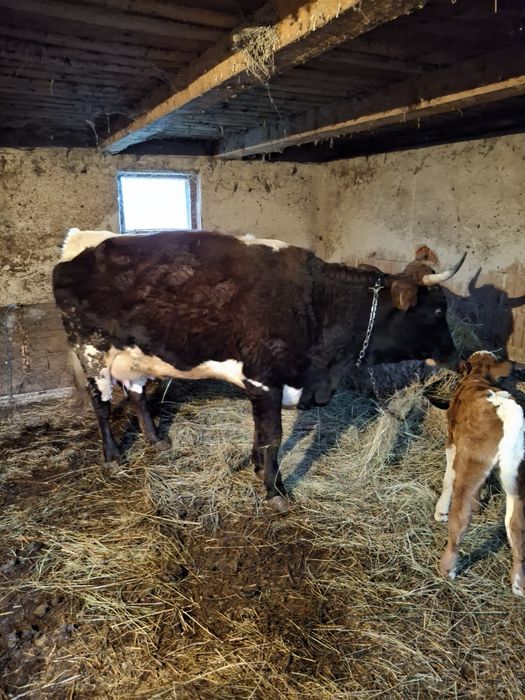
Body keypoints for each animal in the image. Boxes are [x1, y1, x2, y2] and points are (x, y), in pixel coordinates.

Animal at [52, 229, 465, 513]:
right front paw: (274, 491)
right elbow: (272, 437)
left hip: (134, 355)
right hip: (89, 350)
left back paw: (156, 440)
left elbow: (262, 436)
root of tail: (80, 241)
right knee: (102, 403)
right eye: (439, 310)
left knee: (137, 394)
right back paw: (113, 457)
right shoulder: (265, 380)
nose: (458, 357)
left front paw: (258, 471)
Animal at [434, 351, 524, 596]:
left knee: (460, 519)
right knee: (516, 526)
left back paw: (447, 569)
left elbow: (448, 475)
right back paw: (518, 584)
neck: (477, 378)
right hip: (516, 481)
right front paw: (479, 503)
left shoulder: (452, 440)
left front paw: (441, 508)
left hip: (470, 466)